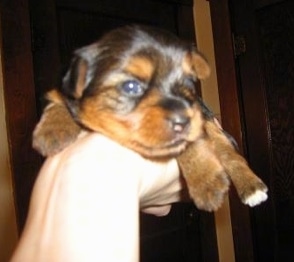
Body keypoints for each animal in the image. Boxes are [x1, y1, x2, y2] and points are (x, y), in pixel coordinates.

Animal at [33, 25, 268, 212]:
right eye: (131, 86)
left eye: (189, 82)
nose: (184, 121)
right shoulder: (65, 89)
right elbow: (59, 101)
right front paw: (51, 131)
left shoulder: (198, 115)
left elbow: (192, 143)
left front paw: (206, 182)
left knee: (229, 152)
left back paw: (251, 187)